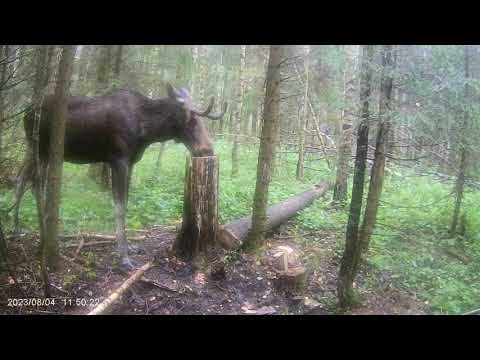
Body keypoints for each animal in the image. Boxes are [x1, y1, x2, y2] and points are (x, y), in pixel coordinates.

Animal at [13, 84, 227, 270]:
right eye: (190, 120)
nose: (207, 149)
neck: (148, 130)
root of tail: (26, 112)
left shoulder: (130, 163)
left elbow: (126, 202)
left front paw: (129, 247)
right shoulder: (118, 160)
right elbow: (119, 207)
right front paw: (123, 257)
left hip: (34, 150)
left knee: (22, 178)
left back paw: (18, 227)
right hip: (41, 150)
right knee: (36, 184)